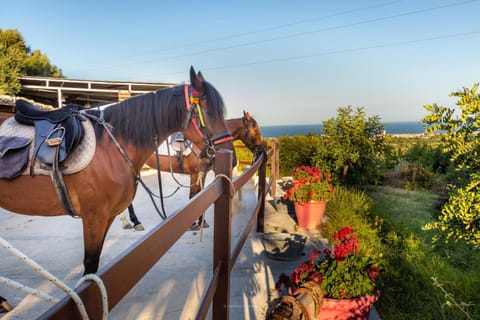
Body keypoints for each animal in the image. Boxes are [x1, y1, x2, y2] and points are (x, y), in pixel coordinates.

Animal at [0, 66, 234, 274]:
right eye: (208, 111)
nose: (230, 153)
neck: (113, 143)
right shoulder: (94, 217)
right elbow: (90, 266)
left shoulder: (107, 217)